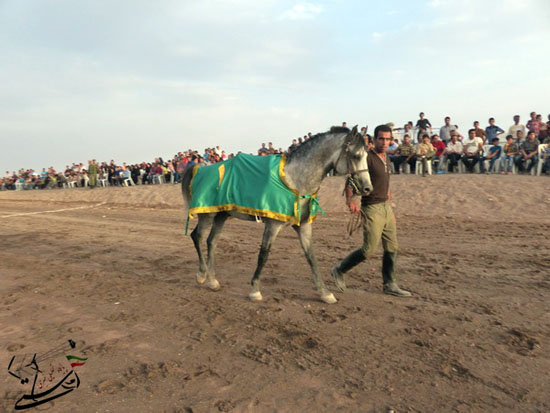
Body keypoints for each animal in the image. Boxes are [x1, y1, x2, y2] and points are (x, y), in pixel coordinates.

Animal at [183, 124, 374, 302]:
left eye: (367, 156)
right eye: (356, 156)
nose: (367, 188)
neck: (295, 181)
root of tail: (200, 169)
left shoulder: (303, 226)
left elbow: (311, 257)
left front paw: (325, 293)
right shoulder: (272, 225)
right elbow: (263, 255)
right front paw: (255, 290)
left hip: (221, 215)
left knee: (211, 241)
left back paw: (212, 281)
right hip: (207, 214)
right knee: (197, 236)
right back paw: (202, 275)